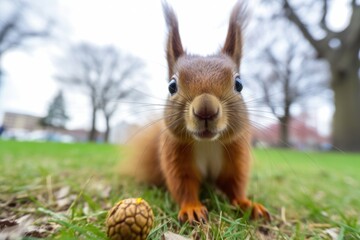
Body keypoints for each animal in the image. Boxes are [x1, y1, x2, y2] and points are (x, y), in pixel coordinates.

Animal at [121, 0, 270, 224]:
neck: (207, 144)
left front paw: (249, 204)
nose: (205, 110)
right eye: (172, 86)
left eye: (239, 84)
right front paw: (192, 208)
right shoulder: (176, 158)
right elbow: (184, 185)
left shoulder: (236, 155)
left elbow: (235, 186)